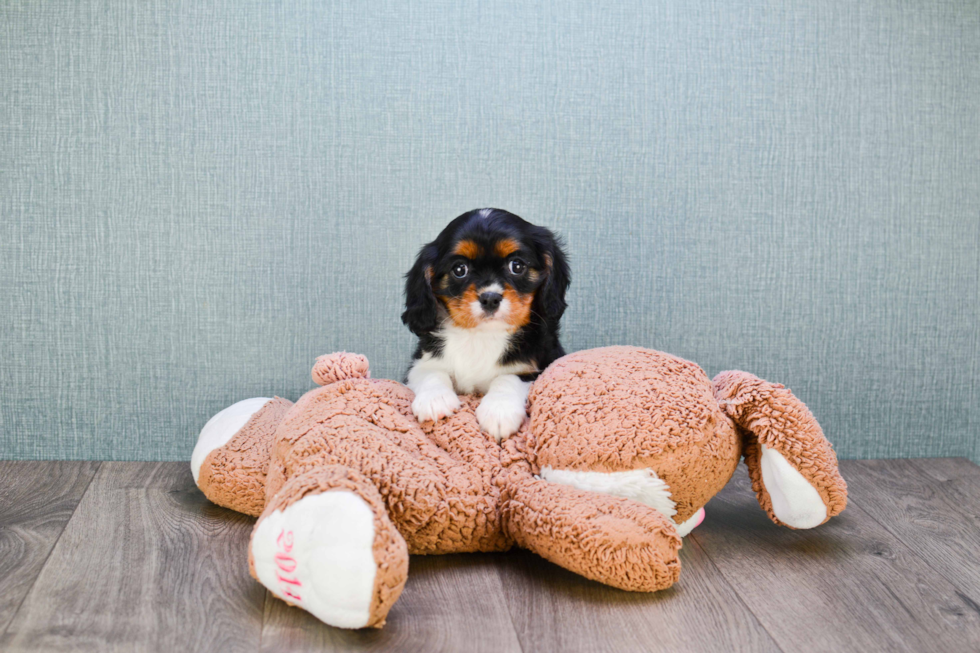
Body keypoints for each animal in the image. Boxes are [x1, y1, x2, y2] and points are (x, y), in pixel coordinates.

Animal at [402, 208, 572, 444]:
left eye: (517, 266)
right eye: (459, 269)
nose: (490, 298)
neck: (482, 335)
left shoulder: (539, 366)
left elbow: (508, 377)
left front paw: (499, 411)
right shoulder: (420, 363)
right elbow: (431, 373)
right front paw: (435, 399)